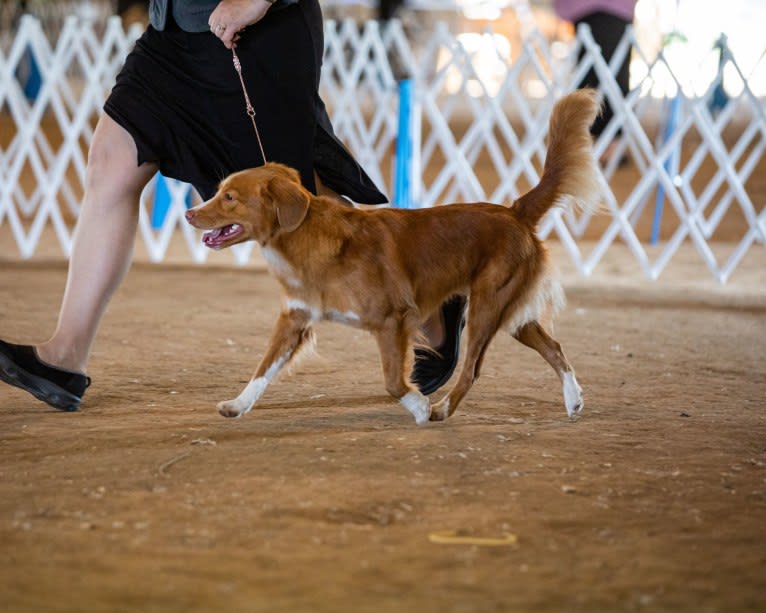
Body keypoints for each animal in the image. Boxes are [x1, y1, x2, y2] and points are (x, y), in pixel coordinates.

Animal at [188, 88, 608, 424]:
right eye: (219, 191)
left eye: (230, 197)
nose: (189, 214)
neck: (305, 241)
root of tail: (514, 211)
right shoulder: (295, 319)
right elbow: (262, 369)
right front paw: (237, 405)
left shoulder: (391, 319)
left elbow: (392, 381)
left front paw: (419, 407)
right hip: (512, 313)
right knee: (554, 348)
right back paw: (573, 401)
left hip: (489, 306)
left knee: (472, 369)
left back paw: (441, 409)